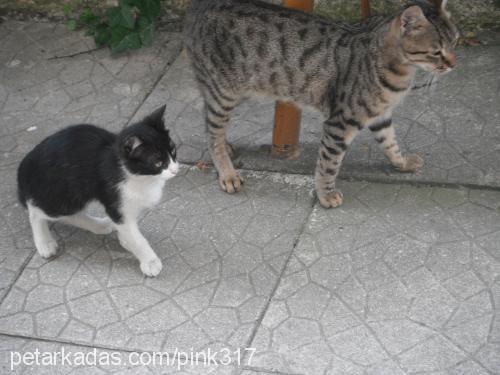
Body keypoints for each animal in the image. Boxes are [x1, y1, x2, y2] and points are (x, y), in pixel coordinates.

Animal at [17, 105, 178, 276]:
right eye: (158, 163)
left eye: (173, 151)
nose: (175, 170)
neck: (138, 176)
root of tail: (24, 168)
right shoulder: (115, 200)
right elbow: (134, 236)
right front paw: (149, 261)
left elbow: (128, 231)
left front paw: (126, 242)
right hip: (64, 195)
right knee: (36, 212)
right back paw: (44, 243)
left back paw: (99, 225)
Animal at [184, 0, 458, 207]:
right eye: (436, 51)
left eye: (455, 42)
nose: (454, 64)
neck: (399, 70)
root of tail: (201, 5)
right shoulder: (341, 121)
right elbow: (329, 163)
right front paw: (326, 194)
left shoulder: (380, 115)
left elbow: (391, 143)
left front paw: (402, 163)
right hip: (224, 91)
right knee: (212, 131)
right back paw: (227, 172)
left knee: (208, 120)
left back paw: (227, 146)